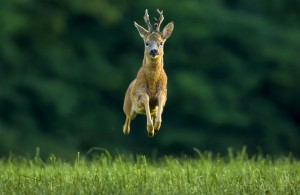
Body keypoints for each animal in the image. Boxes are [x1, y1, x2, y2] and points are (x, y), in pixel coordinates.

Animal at [122, 9, 173, 137]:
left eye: (161, 43)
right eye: (146, 43)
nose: (154, 51)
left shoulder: (163, 91)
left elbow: (161, 99)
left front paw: (157, 126)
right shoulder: (139, 93)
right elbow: (145, 98)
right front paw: (150, 129)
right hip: (127, 105)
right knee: (127, 119)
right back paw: (127, 130)